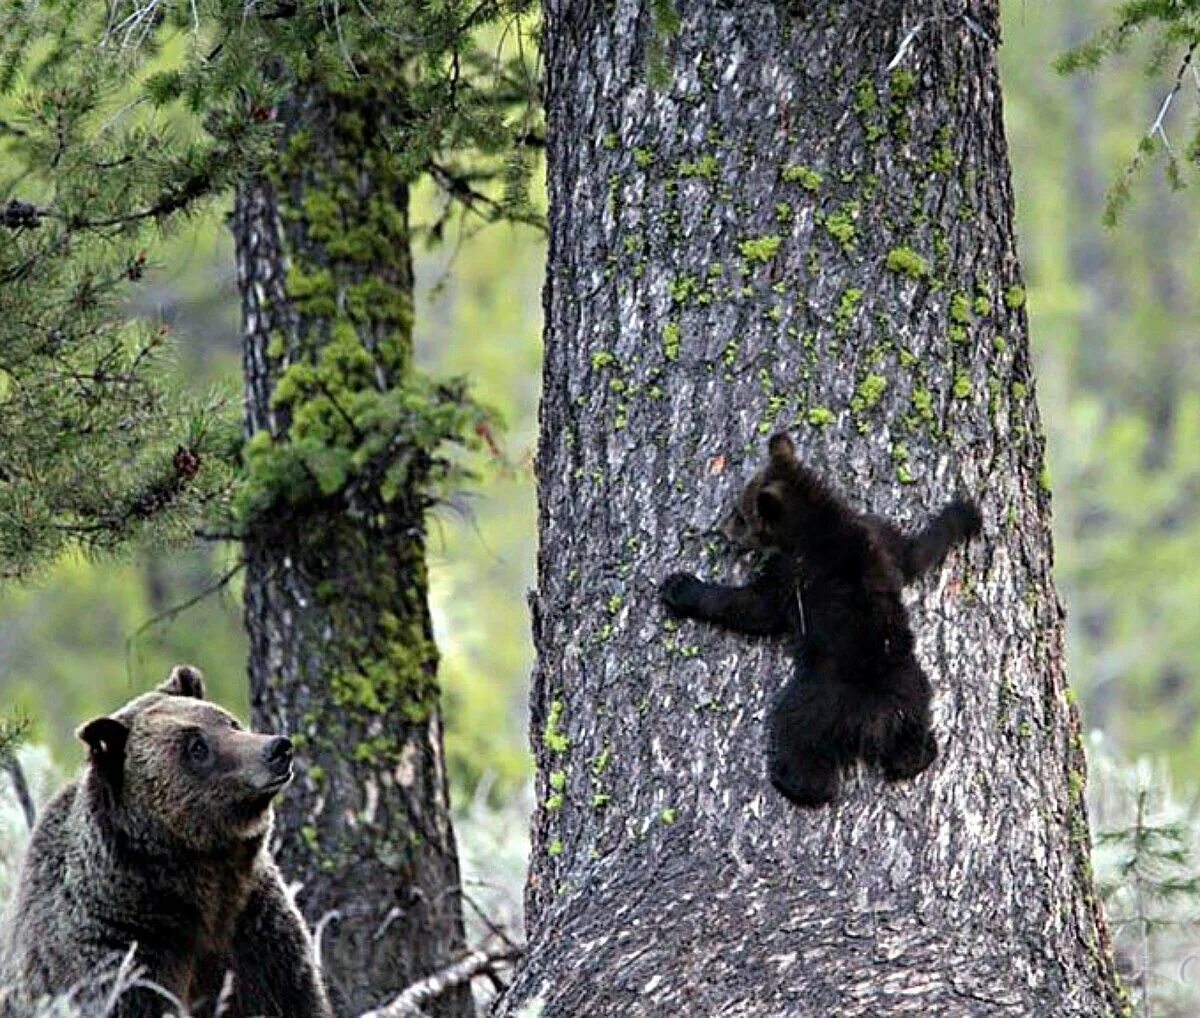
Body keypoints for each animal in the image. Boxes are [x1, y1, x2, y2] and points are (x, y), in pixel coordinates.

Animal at [0, 662, 333, 1013]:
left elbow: (292, 994)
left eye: (230, 722)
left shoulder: (256, 933)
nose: (278, 747)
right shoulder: (123, 948)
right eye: (197, 747)